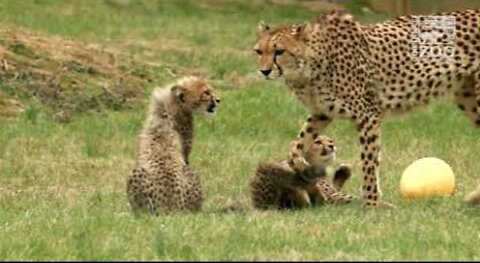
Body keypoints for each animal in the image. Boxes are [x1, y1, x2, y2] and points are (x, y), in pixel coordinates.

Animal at [253, 9, 478, 208]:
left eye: (279, 51)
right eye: (259, 51)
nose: (264, 71)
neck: (308, 68)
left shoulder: (367, 115)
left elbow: (369, 164)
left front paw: (372, 204)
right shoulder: (321, 113)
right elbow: (297, 142)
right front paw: (299, 165)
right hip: (467, 98)